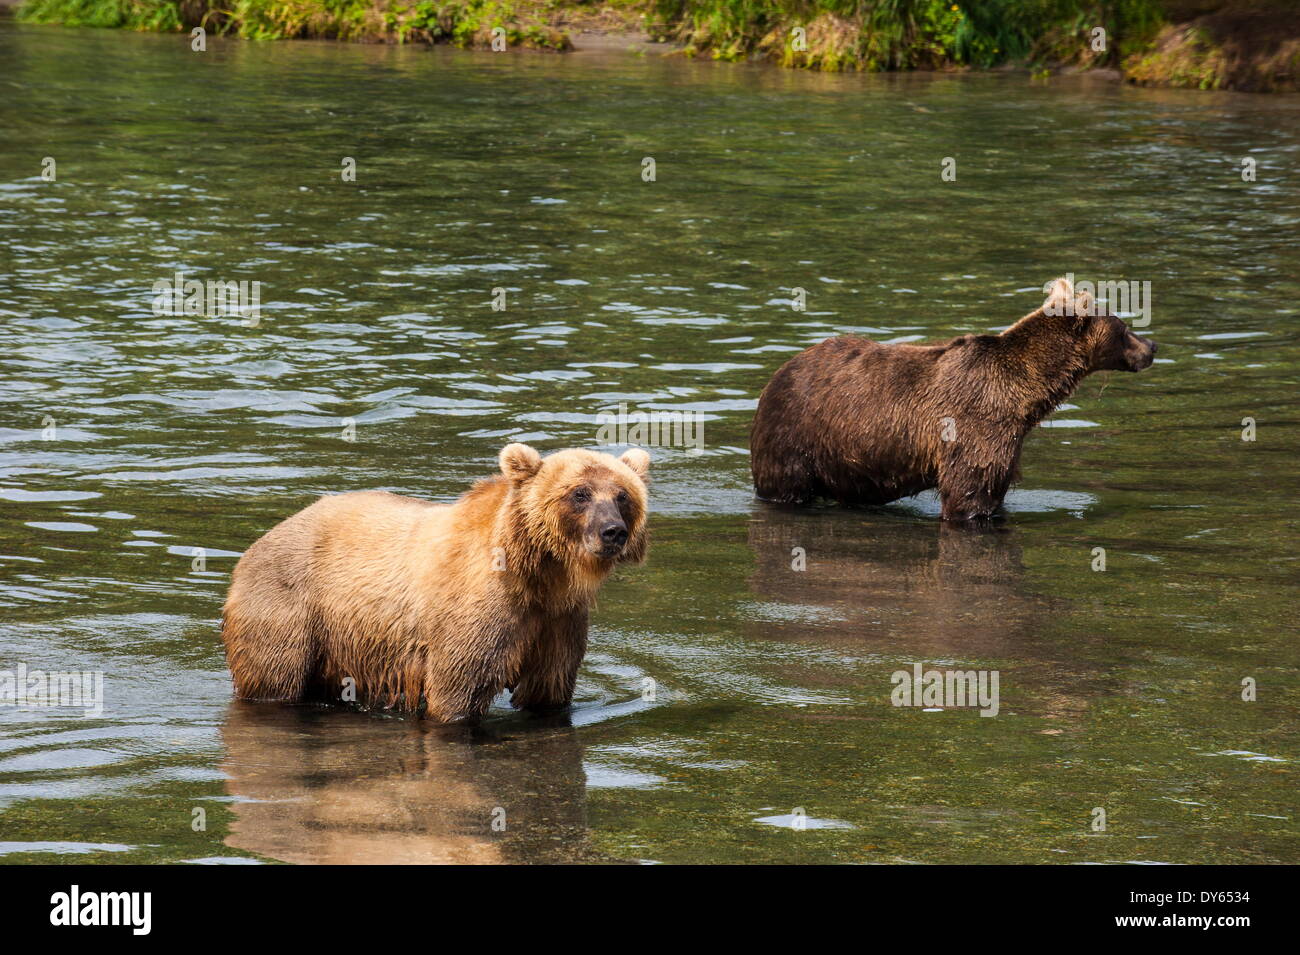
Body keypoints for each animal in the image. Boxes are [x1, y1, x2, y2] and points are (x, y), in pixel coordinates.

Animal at [223, 446, 655, 722]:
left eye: (622, 495)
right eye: (580, 493)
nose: (612, 532)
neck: (540, 575)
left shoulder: (558, 620)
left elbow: (549, 687)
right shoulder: (478, 610)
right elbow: (457, 690)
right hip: (290, 606)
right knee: (275, 678)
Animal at [754, 278, 1159, 522]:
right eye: (1125, 328)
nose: (1152, 346)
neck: (1024, 395)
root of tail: (779, 372)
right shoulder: (977, 425)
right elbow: (969, 494)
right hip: (795, 435)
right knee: (785, 488)